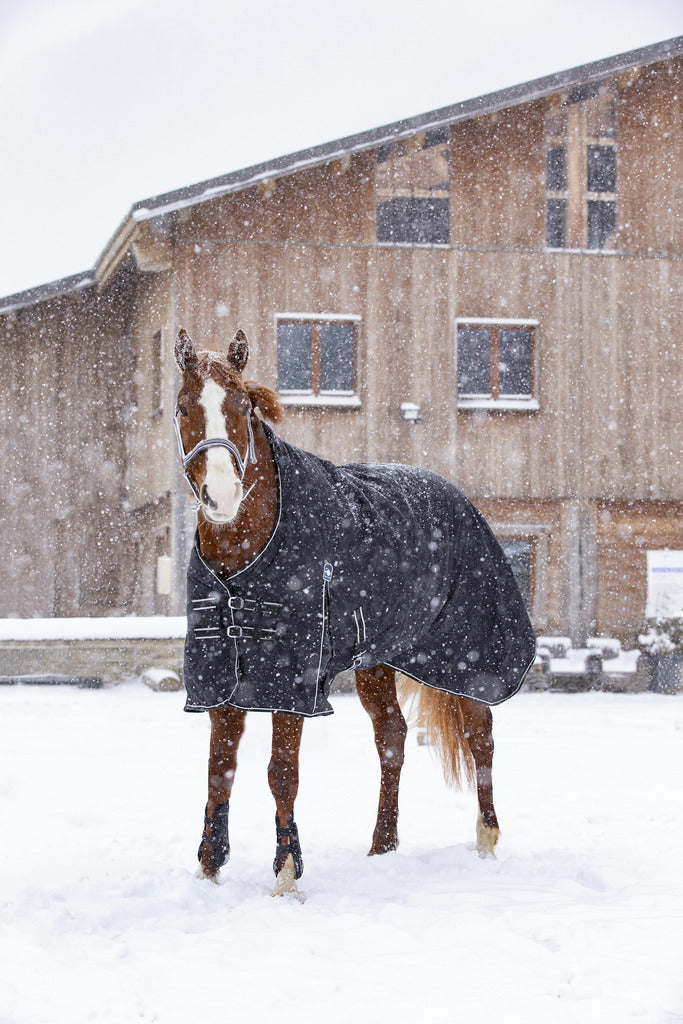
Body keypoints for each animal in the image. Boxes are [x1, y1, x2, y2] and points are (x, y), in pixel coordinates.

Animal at [175, 329, 518, 897]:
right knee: (392, 739)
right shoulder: (221, 674)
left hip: (464, 658)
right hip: (375, 663)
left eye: (243, 407)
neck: (246, 554)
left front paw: (286, 876)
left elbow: (281, 774)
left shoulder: (292, 680)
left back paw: (488, 844)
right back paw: (382, 847)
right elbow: (219, 769)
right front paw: (208, 868)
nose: (221, 495)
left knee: (481, 735)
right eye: (183, 408)